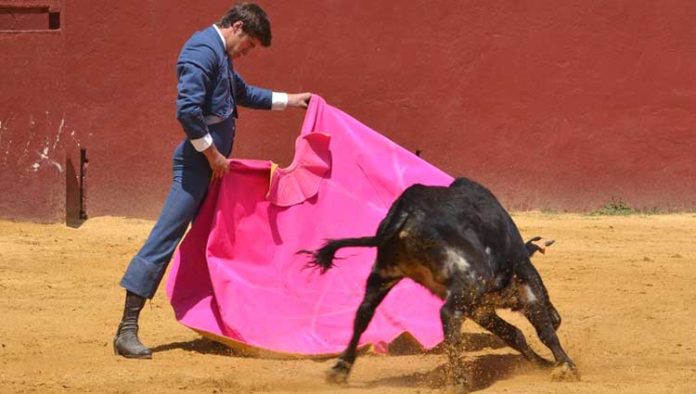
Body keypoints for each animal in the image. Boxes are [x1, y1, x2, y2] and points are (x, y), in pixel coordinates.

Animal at [302, 178, 580, 388]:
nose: (558, 317)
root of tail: (408, 208)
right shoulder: (524, 281)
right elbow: (544, 331)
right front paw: (566, 367)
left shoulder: (479, 307)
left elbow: (513, 334)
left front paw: (544, 364)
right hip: (470, 278)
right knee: (447, 314)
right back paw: (458, 382)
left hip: (384, 273)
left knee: (363, 314)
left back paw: (340, 369)